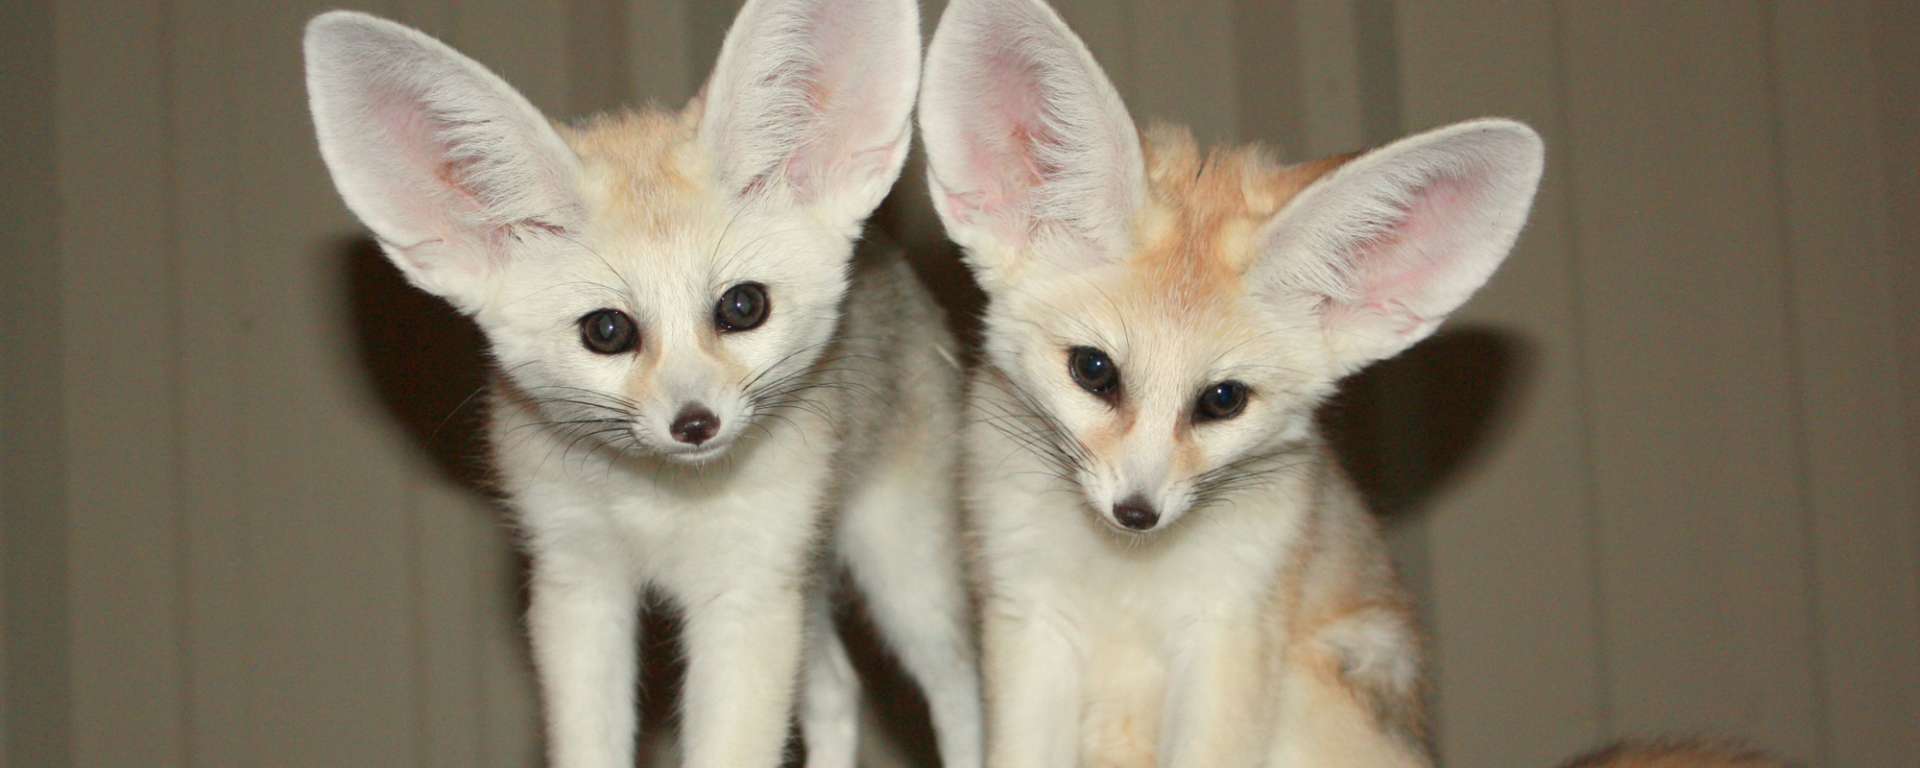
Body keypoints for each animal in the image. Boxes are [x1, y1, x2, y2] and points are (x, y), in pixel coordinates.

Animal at [303, 3, 982, 768]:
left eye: (742, 306)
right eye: (607, 331)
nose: (695, 424)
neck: (656, 504)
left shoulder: (744, 592)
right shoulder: (578, 584)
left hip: (903, 576)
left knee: (962, 691)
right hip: (807, 584)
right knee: (839, 690)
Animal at [917, 0, 1543, 765]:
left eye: (1222, 400)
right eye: (1093, 370)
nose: (1137, 512)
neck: (1126, 580)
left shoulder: (1231, 629)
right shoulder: (1028, 619)